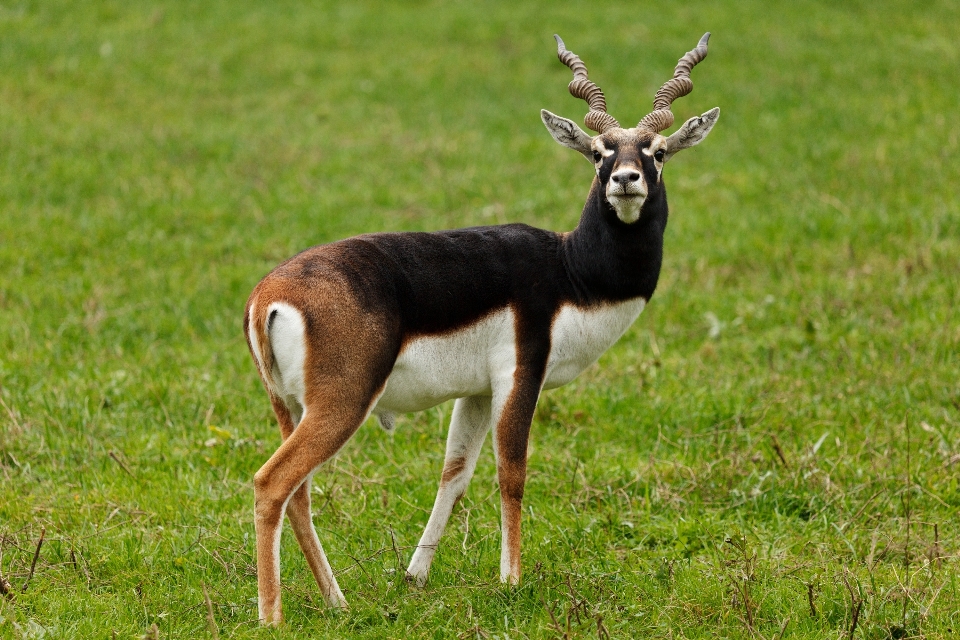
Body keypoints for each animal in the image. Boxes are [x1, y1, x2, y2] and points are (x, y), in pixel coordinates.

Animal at [244, 32, 716, 624]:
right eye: (598, 151)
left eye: (657, 151)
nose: (625, 180)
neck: (570, 270)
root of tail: (269, 296)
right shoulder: (521, 373)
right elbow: (511, 472)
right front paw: (511, 581)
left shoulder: (475, 392)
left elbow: (455, 474)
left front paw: (415, 576)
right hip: (342, 403)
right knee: (271, 483)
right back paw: (272, 616)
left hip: (288, 406)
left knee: (298, 492)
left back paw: (337, 601)